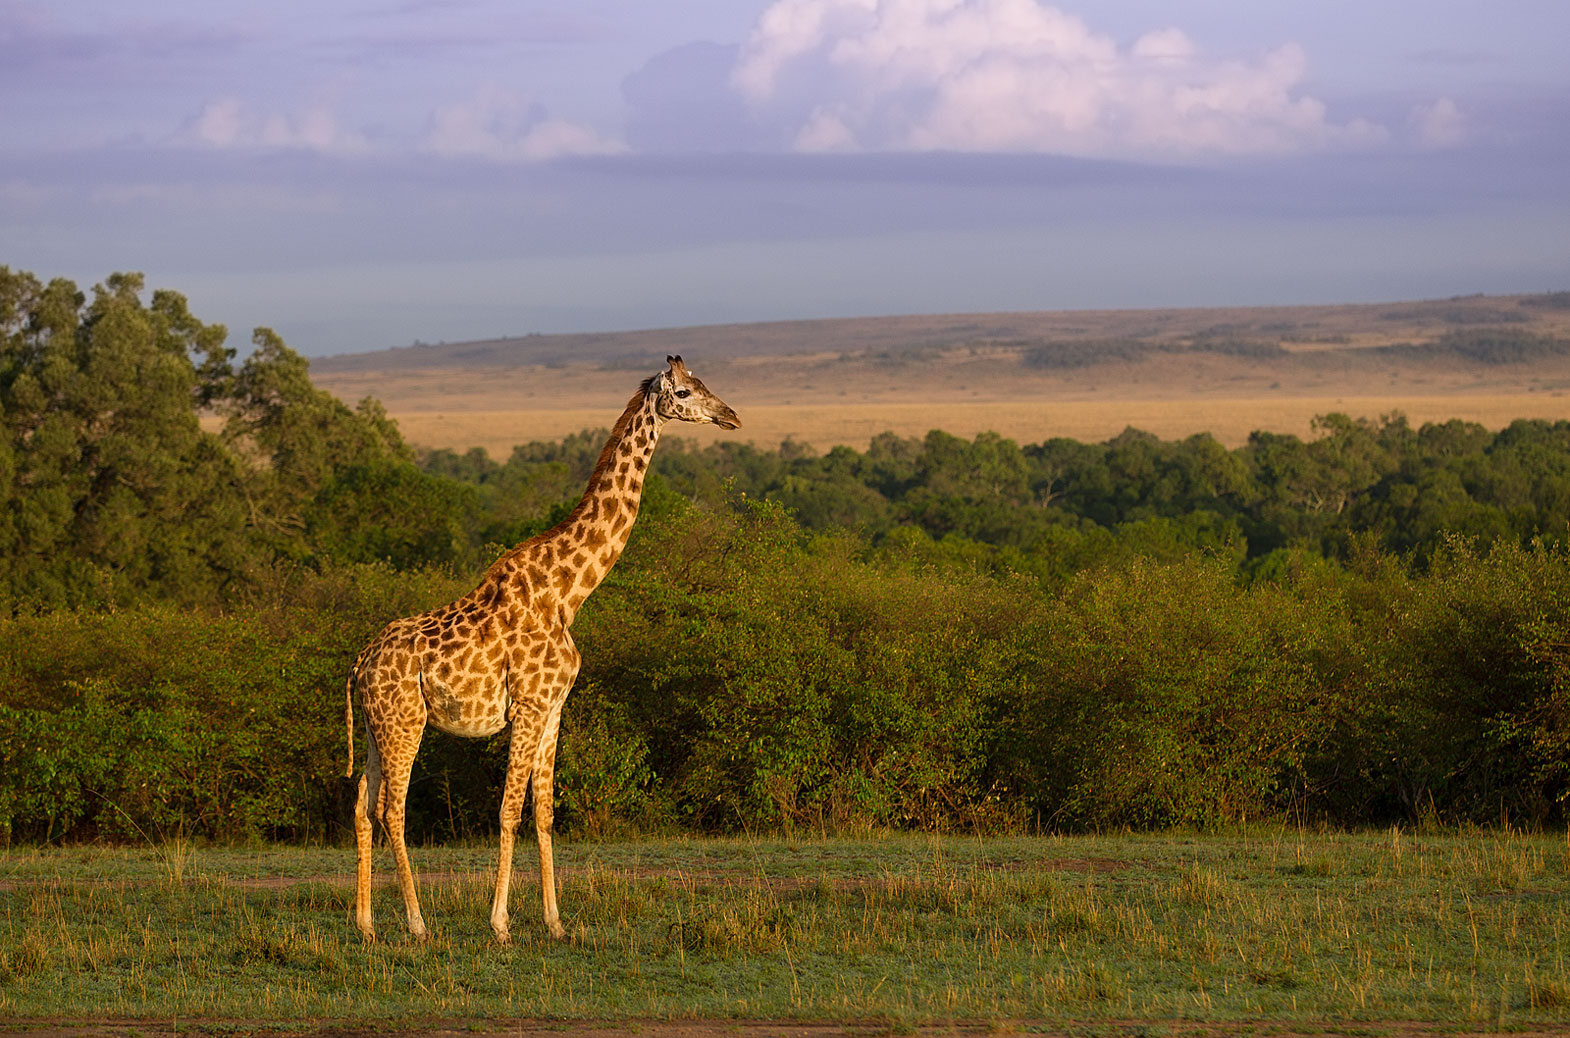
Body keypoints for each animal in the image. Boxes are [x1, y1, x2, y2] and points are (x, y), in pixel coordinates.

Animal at [346, 354, 737, 942]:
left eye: (706, 384)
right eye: (688, 391)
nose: (730, 414)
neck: (568, 594)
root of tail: (359, 663)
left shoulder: (554, 709)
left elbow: (545, 813)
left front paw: (555, 921)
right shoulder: (528, 707)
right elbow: (509, 812)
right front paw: (501, 924)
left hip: (376, 727)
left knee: (361, 808)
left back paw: (367, 925)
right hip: (404, 722)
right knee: (393, 810)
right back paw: (416, 925)